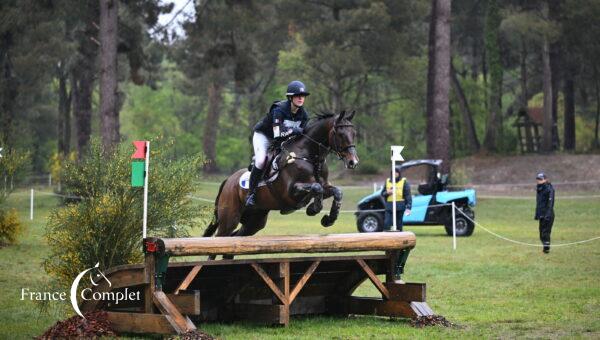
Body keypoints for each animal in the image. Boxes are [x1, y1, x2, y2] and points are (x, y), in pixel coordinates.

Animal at [202, 109, 360, 242]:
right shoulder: (290, 192)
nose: (353, 162)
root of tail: (228, 181)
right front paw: (313, 209)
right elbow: (316, 187)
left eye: (354, 133)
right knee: (219, 238)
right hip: (229, 218)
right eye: (340, 134)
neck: (310, 157)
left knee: (235, 237)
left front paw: (329, 219)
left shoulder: (325, 186)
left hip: (254, 221)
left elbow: (337, 191)